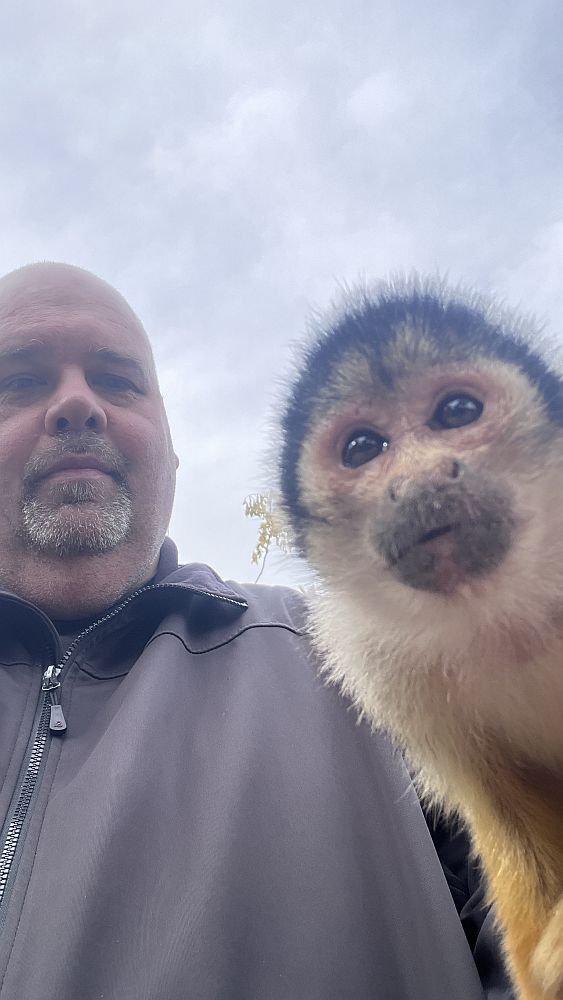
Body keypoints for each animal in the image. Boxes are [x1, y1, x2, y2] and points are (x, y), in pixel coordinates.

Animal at [277, 276, 563, 1000]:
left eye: (456, 412)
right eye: (363, 448)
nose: (421, 478)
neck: (508, 610)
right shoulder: (378, 664)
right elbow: (501, 803)